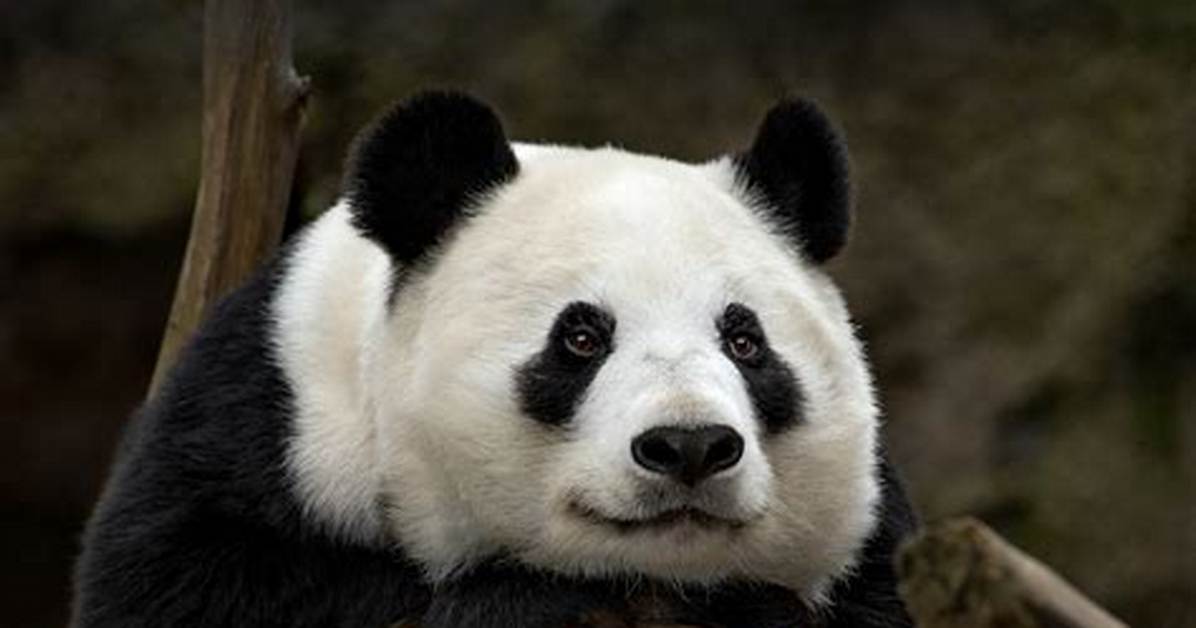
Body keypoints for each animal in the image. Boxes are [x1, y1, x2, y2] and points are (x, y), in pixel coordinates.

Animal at [72, 91, 917, 628]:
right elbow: (167, 583)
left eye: (744, 341)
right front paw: (513, 598)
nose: (690, 446)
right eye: (581, 338)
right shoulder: (270, 408)